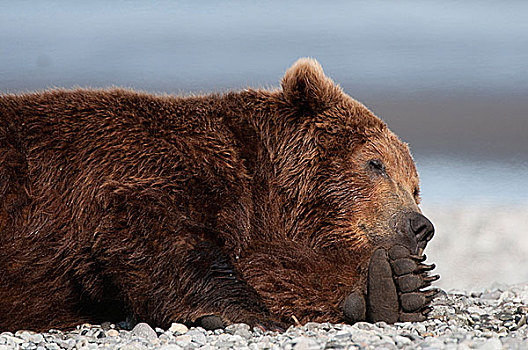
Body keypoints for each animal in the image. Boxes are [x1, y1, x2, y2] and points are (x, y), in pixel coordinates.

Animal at [0, 58, 438, 330]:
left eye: (415, 188)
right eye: (375, 163)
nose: (420, 226)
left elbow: (274, 266)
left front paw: (393, 284)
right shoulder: (146, 166)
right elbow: (163, 239)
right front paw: (246, 312)